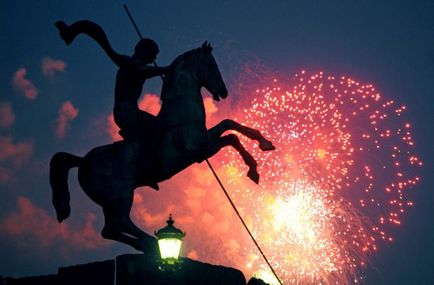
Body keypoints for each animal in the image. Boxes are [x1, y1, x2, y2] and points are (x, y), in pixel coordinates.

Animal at [50, 41, 274, 251]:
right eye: (211, 65)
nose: (224, 91)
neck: (181, 113)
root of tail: (82, 161)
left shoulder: (205, 141)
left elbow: (229, 126)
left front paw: (263, 147)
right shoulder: (200, 147)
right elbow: (230, 135)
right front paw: (254, 167)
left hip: (110, 201)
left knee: (110, 229)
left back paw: (146, 244)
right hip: (121, 195)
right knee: (119, 224)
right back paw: (150, 243)